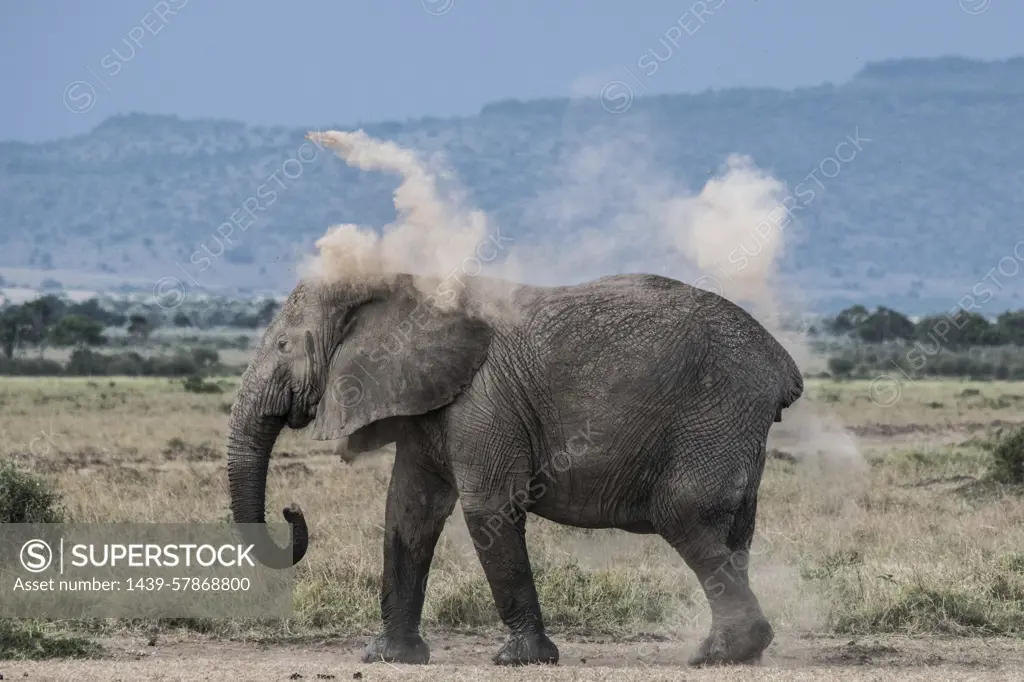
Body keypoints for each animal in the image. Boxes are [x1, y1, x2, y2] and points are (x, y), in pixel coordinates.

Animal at [228, 270, 802, 663]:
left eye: (284, 345)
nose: (291, 509)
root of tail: (784, 366)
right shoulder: (431, 406)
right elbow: (409, 513)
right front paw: (389, 659)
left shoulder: (484, 401)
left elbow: (489, 510)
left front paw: (520, 660)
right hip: (731, 428)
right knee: (733, 531)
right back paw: (730, 652)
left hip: (715, 415)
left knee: (684, 516)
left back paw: (720, 655)